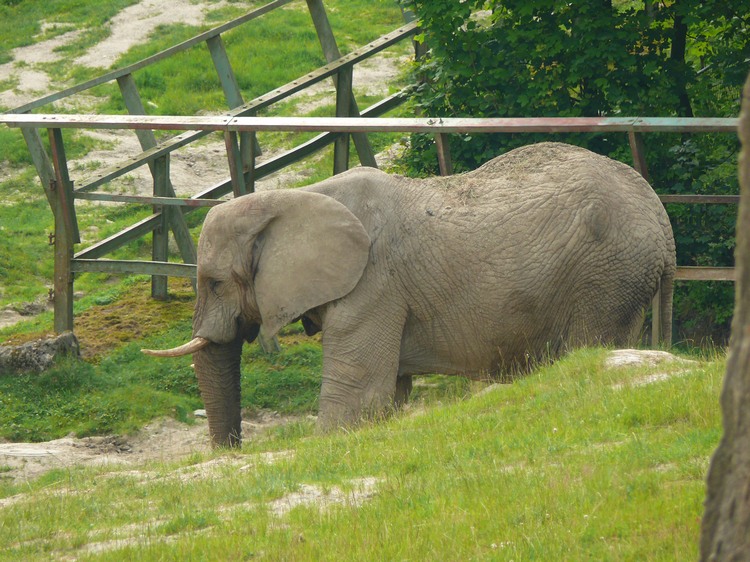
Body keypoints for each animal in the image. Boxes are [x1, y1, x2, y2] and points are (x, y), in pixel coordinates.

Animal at [144, 141, 680, 446]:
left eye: (215, 282)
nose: (235, 450)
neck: (292, 197)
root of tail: (662, 221)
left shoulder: (374, 283)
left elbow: (359, 395)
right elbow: (389, 395)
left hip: (604, 277)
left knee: (591, 348)